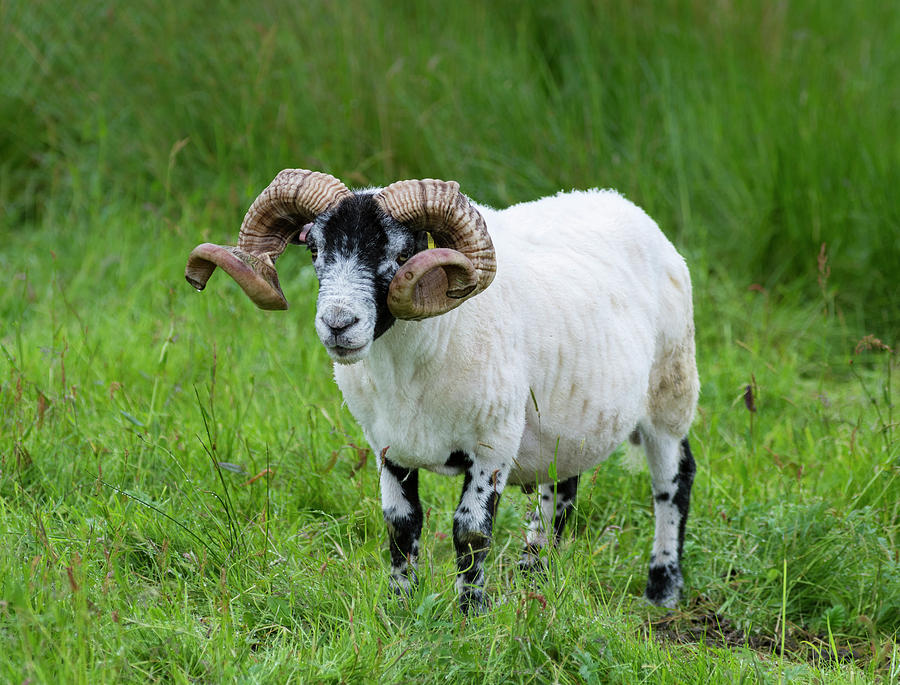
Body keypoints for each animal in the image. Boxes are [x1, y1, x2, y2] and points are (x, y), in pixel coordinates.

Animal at [186, 168, 700, 612]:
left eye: (401, 253)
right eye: (314, 249)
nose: (338, 325)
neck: (413, 366)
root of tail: (621, 202)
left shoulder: (493, 446)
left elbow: (470, 532)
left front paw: (470, 612)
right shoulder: (388, 445)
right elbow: (401, 525)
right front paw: (399, 606)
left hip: (670, 390)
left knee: (673, 482)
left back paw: (661, 589)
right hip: (567, 419)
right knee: (560, 491)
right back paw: (535, 577)